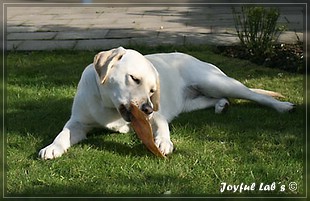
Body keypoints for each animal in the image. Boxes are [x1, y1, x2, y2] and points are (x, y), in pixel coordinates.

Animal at [39, 46, 296, 159]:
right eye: (134, 79)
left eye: (153, 90)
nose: (147, 108)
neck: (110, 107)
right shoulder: (78, 122)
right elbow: (63, 134)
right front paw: (52, 147)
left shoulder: (158, 116)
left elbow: (162, 127)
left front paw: (163, 143)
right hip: (196, 100)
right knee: (218, 99)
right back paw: (221, 106)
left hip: (216, 81)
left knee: (252, 94)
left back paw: (282, 106)